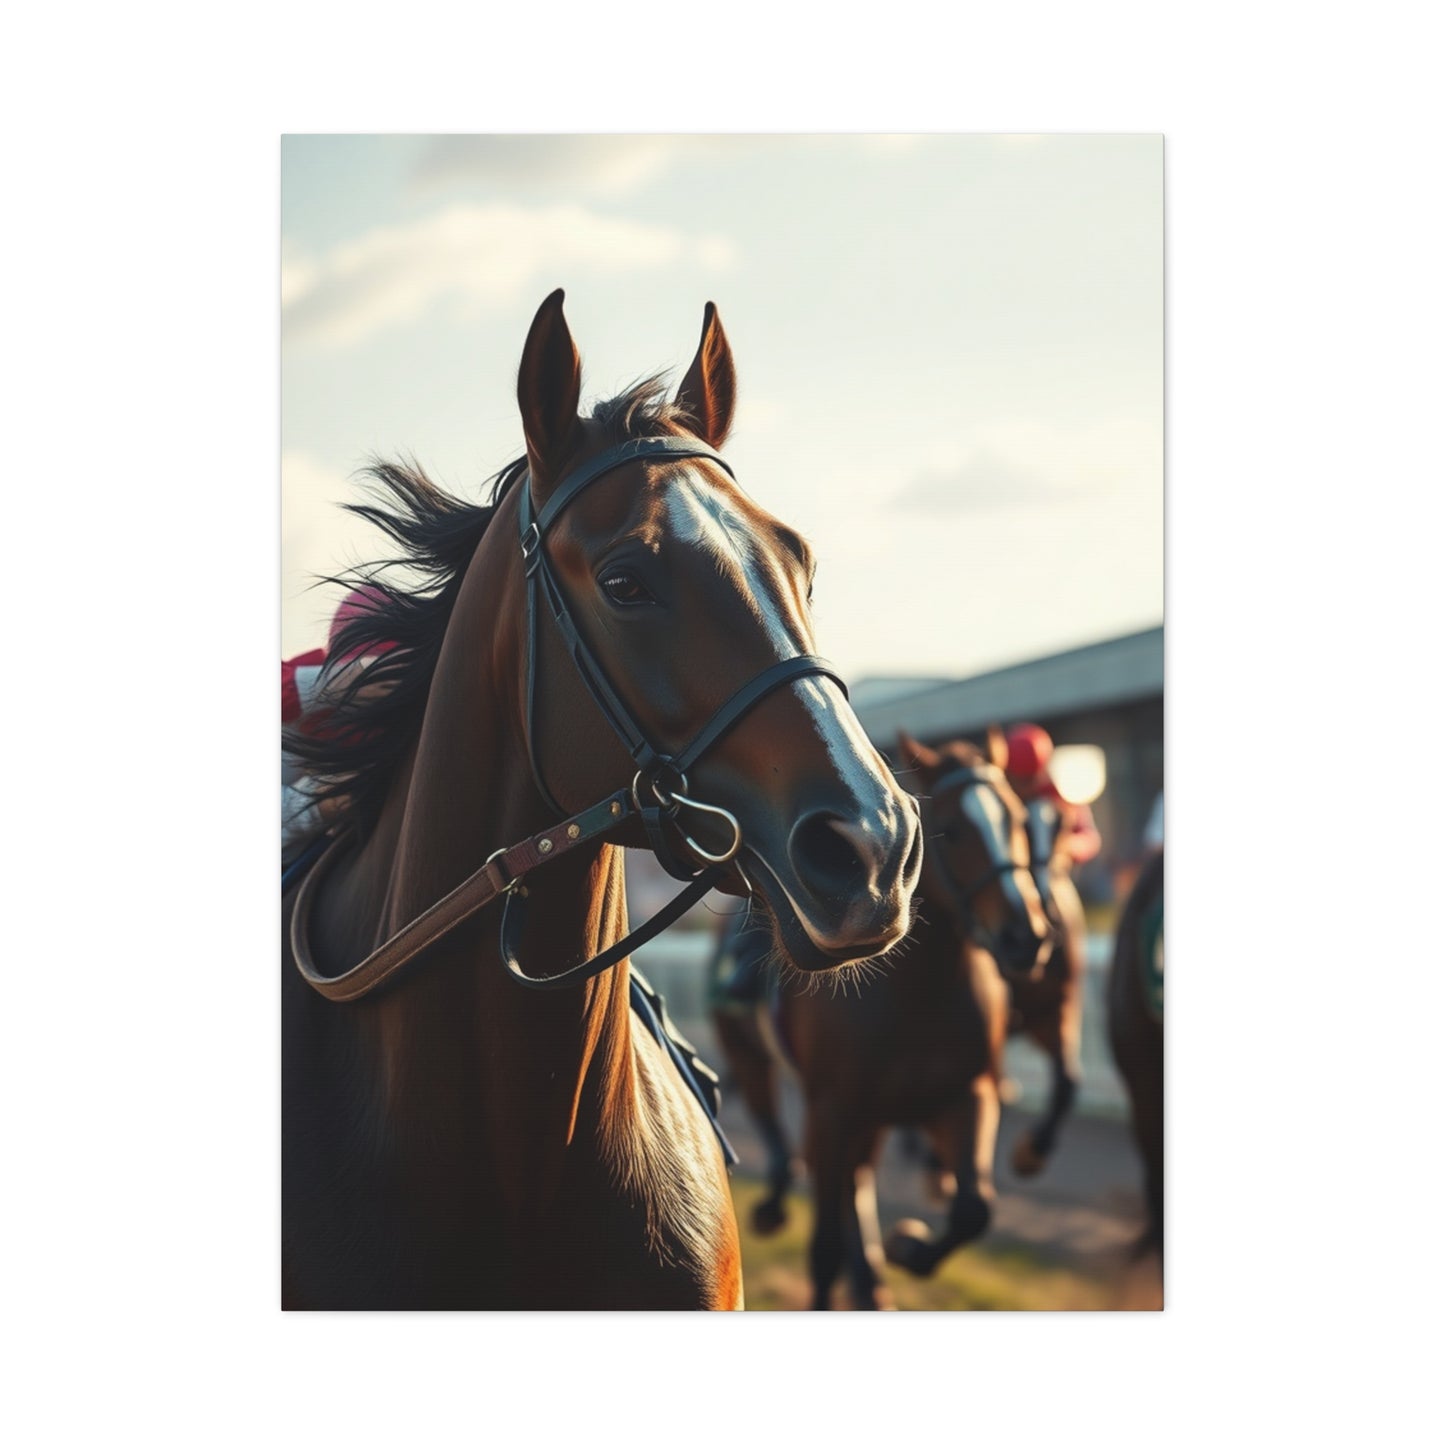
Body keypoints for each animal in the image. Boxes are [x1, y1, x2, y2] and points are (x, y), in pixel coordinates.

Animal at [709, 729, 1051, 1308]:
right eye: (953, 830)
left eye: (1015, 819)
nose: (1024, 937)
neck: (917, 998)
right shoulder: (832, 1109)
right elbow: (824, 1242)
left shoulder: (965, 1095)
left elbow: (973, 1209)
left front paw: (907, 1246)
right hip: (748, 1053)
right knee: (774, 1124)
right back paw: (778, 1205)